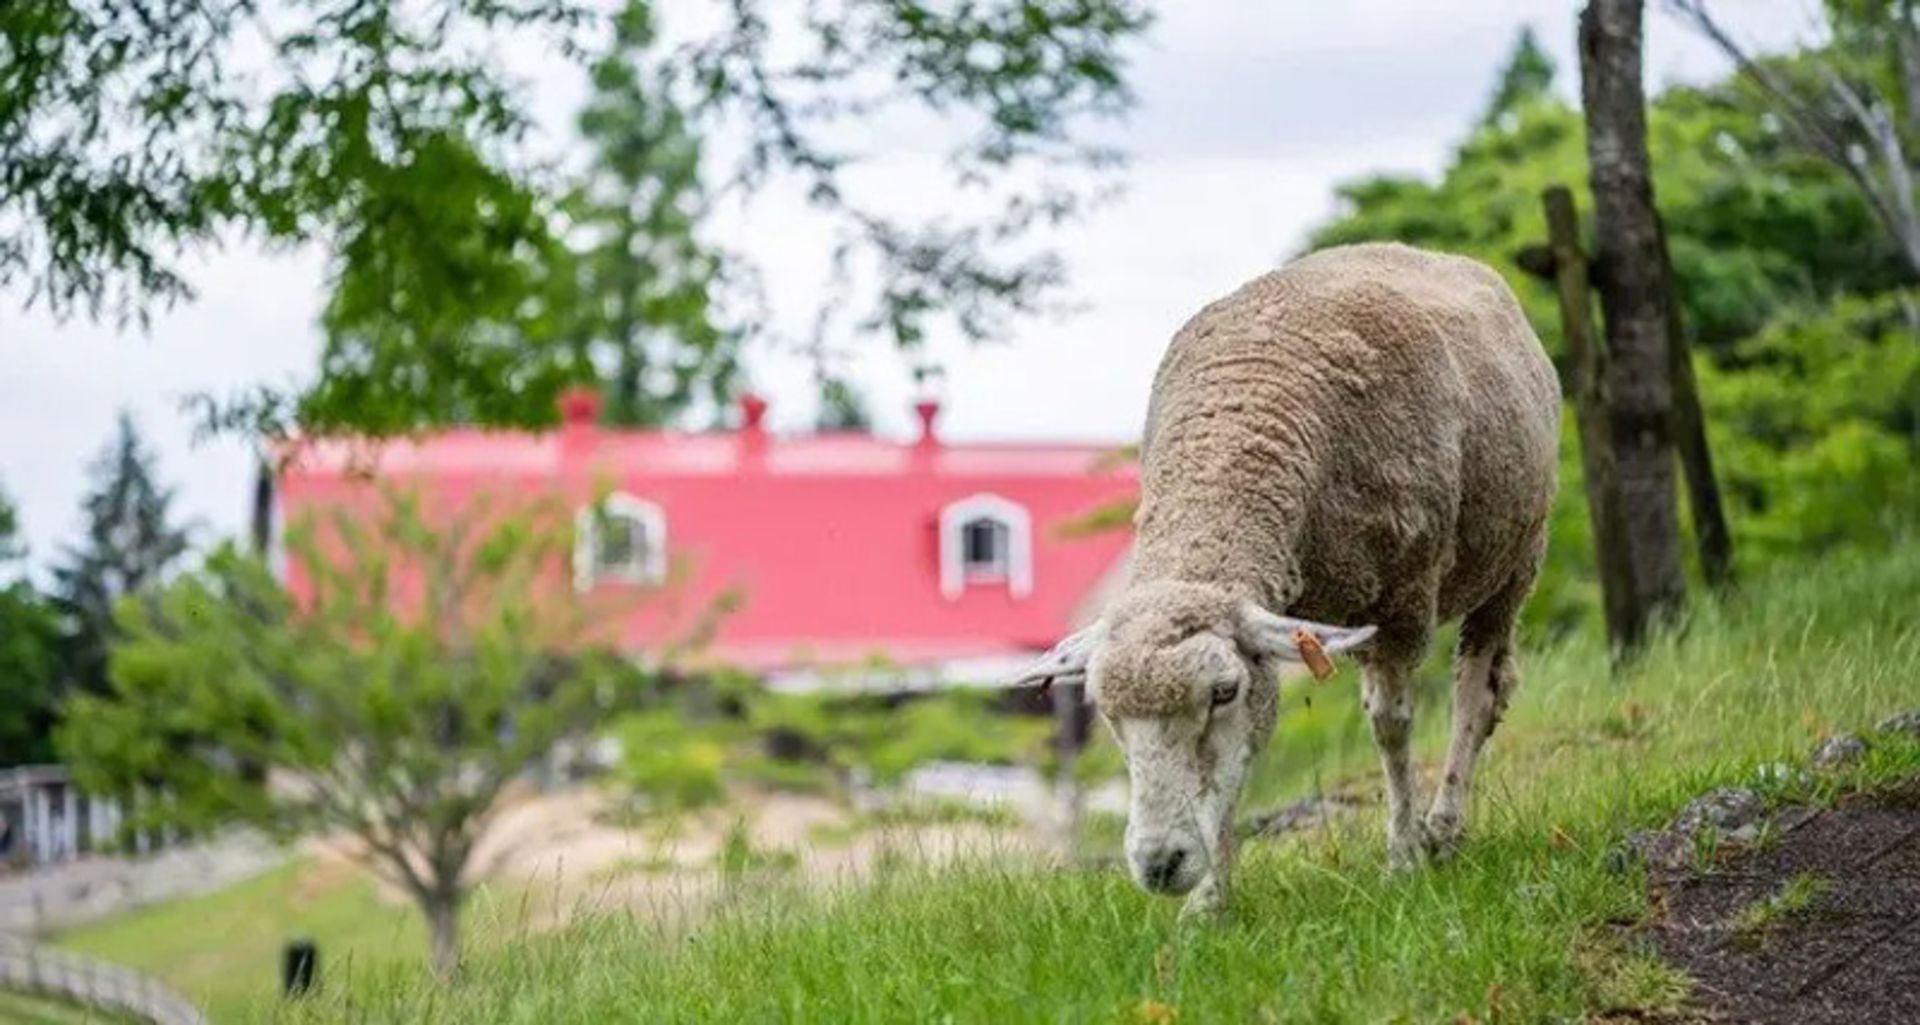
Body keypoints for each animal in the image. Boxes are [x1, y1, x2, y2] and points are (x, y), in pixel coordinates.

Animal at [1016, 242, 1560, 916]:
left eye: (1221, 692)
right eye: (1103, 709)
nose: (1160, 865)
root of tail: (1428, 253)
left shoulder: (1406, 600)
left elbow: (1391, 726)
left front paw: (1401, 862)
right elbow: (1244, 753)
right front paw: (1208, 905)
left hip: (1517, 559)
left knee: (1478, 692)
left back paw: (1442, 829)